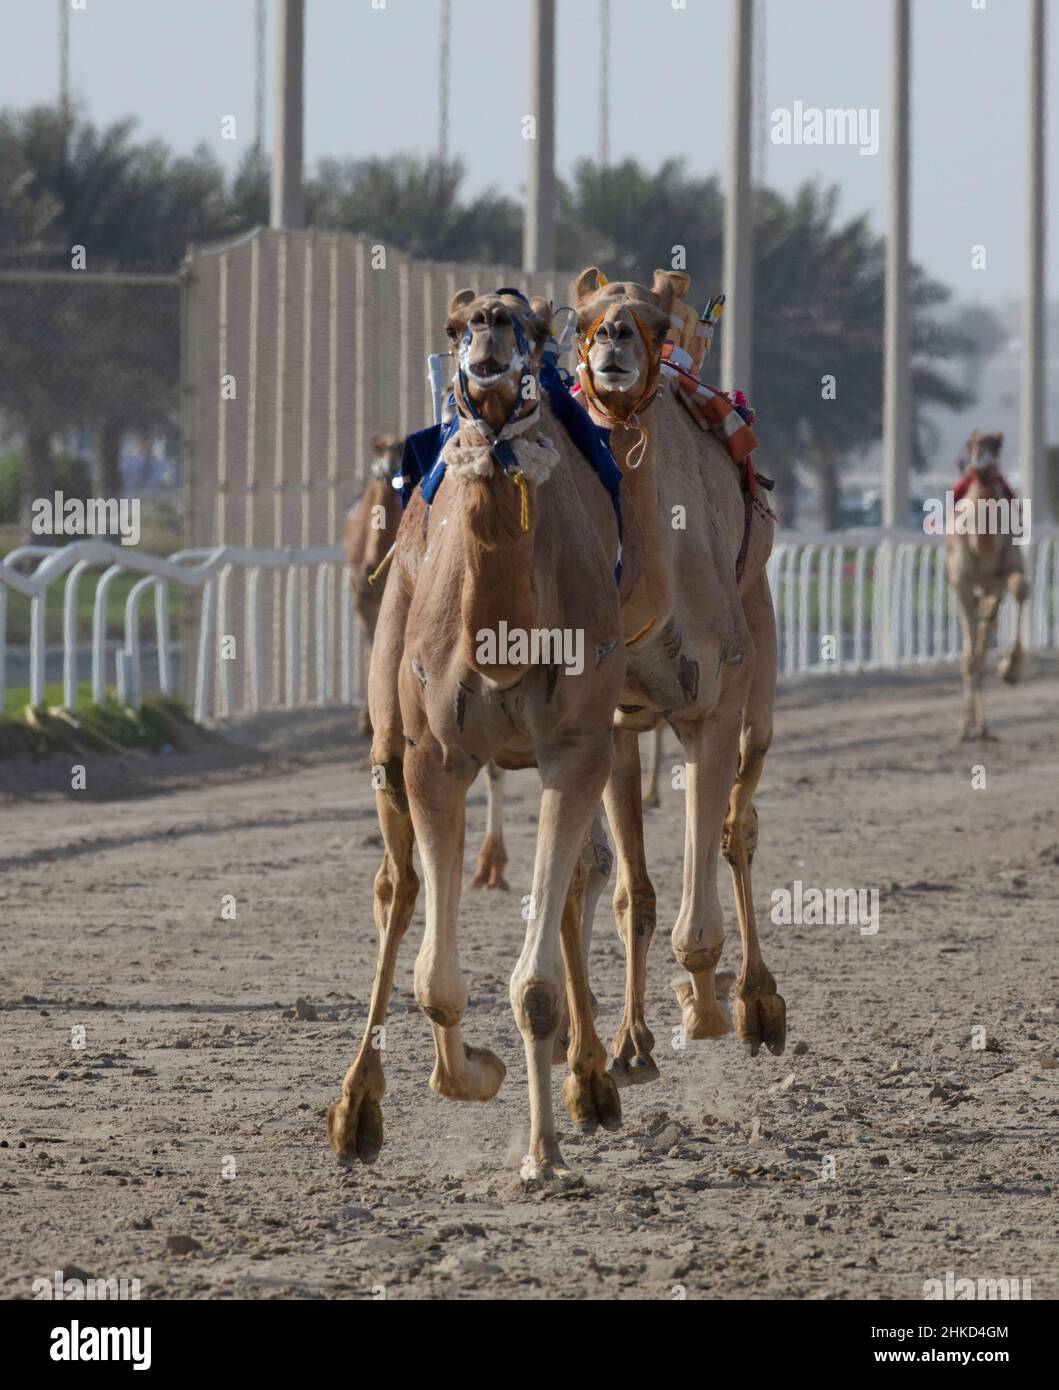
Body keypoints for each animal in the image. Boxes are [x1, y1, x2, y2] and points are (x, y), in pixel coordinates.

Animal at [326, 287, 630, 1178]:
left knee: (578, 879)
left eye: (528, 327)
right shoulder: (434, 756)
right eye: (456, 326)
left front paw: (543, 1152)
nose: (492, 321)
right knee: (396, 889)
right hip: (388, 733)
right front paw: (472, 1075)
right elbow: (435, 978)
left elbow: (536, 981)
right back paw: (356, 1107)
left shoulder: (578, 747)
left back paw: (590, 1078)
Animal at [569, 262, 783, 1084]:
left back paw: (754, 1002)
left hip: (758, 653)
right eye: (576, 321)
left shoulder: (711, 707)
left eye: (656, 325)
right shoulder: (609, 720)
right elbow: (633, 892)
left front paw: (709, 1011)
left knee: (739, 822)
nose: (614, 342)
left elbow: (703, 884)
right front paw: (629, 1046)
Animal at [939, 430, 1022, 739]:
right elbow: (969, 655)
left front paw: (1010, 671)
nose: (979, 464)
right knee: (973, 647)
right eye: (972, 445)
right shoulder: (962, 582)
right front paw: (964, 729)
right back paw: (972, 727)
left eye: (997, 446)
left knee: (983, 642)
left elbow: (1019, 590)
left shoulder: (1002, 576)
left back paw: (983, 726)